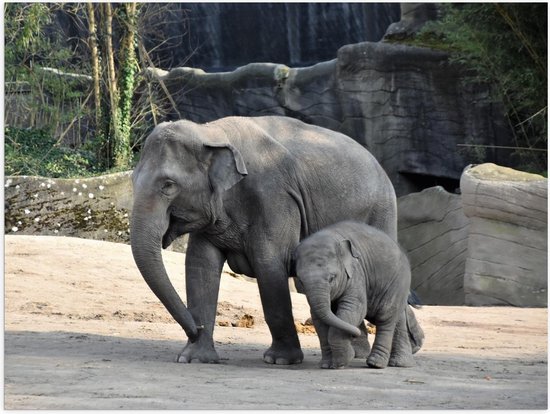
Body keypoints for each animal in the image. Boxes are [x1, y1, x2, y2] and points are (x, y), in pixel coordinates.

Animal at [132, 115, 398, 364]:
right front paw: (195, 358)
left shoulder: (275, 198)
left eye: (168, 185)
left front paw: (281, 360)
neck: (211, 131)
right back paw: (357, 353)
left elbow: (269, 265)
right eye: (133, 180)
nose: (196, 329)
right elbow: (200, 266)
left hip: (381, 212)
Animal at [296, 220, 424, 368]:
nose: (354, 335)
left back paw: (376, 364)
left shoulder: (356, 273)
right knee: (396, 318)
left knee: (385, 317)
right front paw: (327, 365)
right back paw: (400, 363)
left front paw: (342, 362)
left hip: (397, 282)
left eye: (332, 278)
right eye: (301, 280)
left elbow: (354, 309)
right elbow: (318, 318)